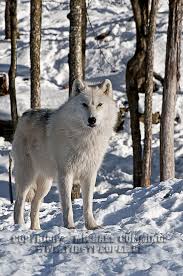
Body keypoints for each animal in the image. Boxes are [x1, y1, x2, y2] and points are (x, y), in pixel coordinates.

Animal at [12, 78, 117, 230]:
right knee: (19, 202)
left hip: (46, 183)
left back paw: (35, 229)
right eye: (84, 105)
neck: (86, 138)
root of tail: (25, 114)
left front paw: (91, 226)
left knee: (34, 204)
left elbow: (88, 205)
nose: (92, 119)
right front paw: (70, 227)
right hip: (27, 176)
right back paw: (20, 226)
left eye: (99, 105)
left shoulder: (89, 175)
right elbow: (67, 205)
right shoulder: (65, 175)